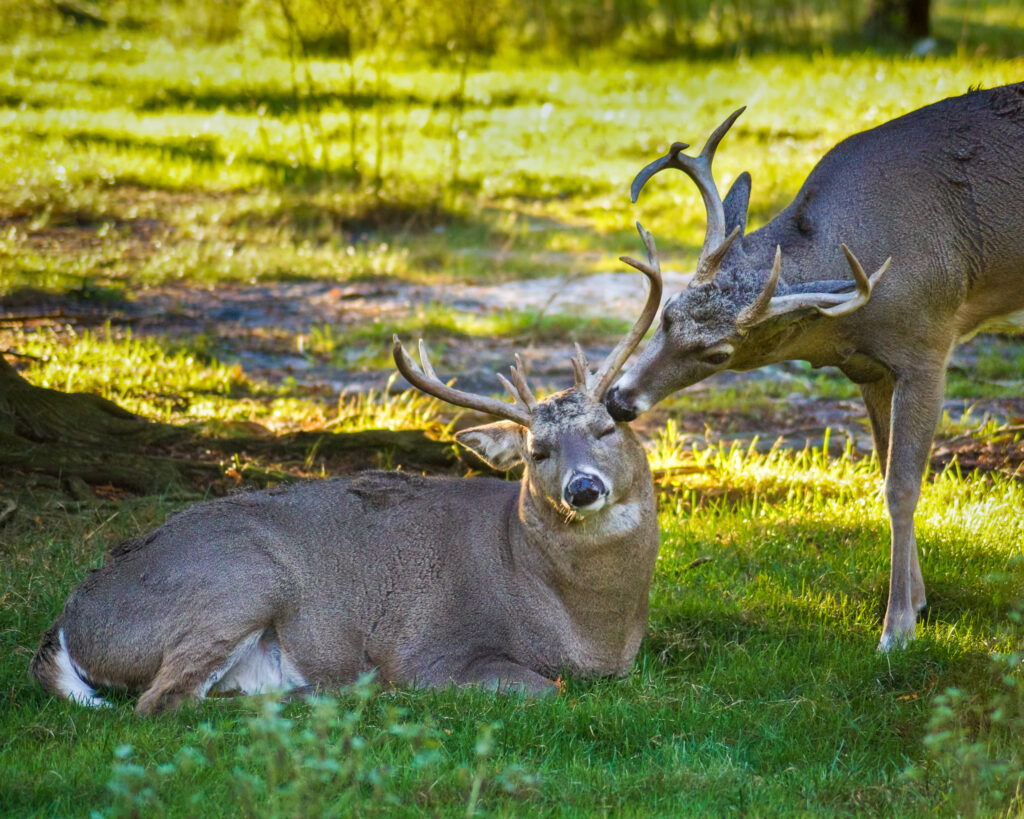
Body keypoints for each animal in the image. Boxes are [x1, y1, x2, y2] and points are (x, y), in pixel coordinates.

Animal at [29, 227, 663, 712]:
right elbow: (549, 688)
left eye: (606, 428)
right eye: (537, 452)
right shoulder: (430, 648)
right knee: (161, 702)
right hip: (237, 581)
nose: (583, 488)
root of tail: (68, 622)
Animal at [602, 82, 1024, 651]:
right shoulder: (872, 369)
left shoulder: (927, 344)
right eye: (668, 313)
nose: (618, 401)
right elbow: (885, 471)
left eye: (719, 355)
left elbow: (903, 488)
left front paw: (897, 629)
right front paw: (917, 601)